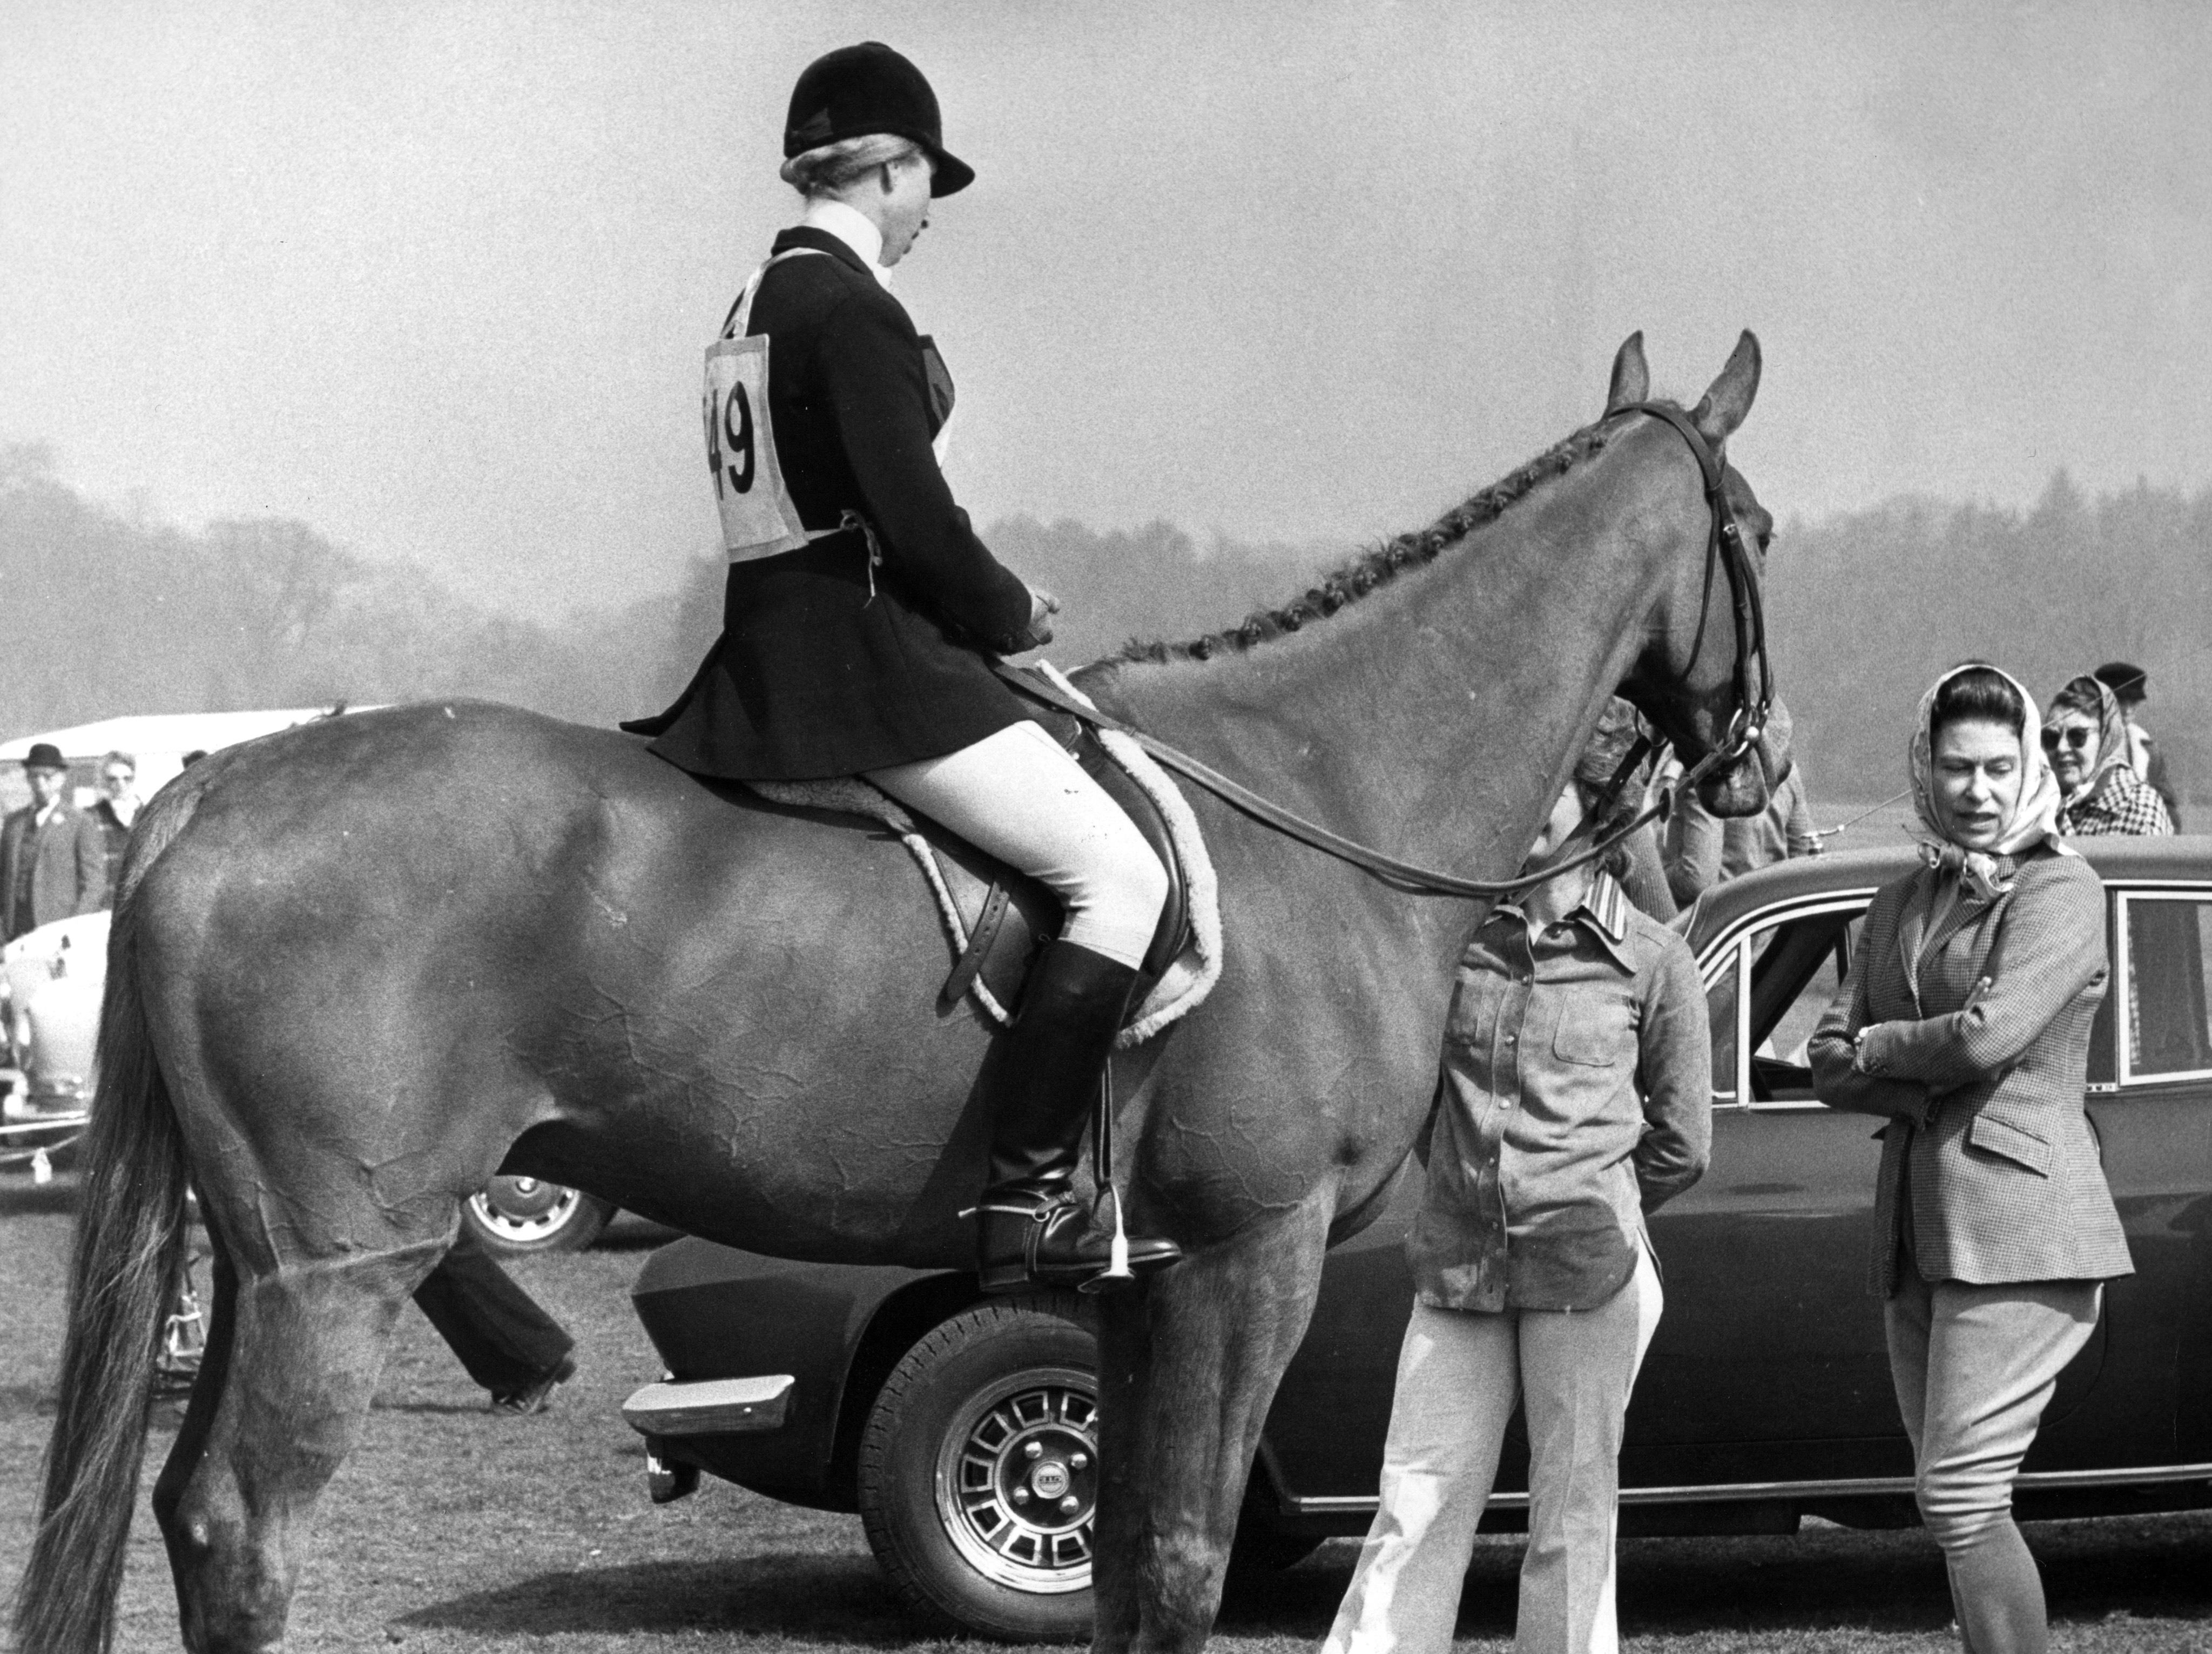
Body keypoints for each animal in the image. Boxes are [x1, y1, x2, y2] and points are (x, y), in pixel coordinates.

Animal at [18, 331, 1786, 1654]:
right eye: (1758, 533)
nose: (1757, 782)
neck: (1320, 779)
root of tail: (211, 789)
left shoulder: (1139, 1283)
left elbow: (1130, 1565)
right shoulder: (1250, 1256)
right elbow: (1184, 1563)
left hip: (267, 1266)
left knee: (186, 1506)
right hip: (335, 1271)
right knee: (240, 1525)